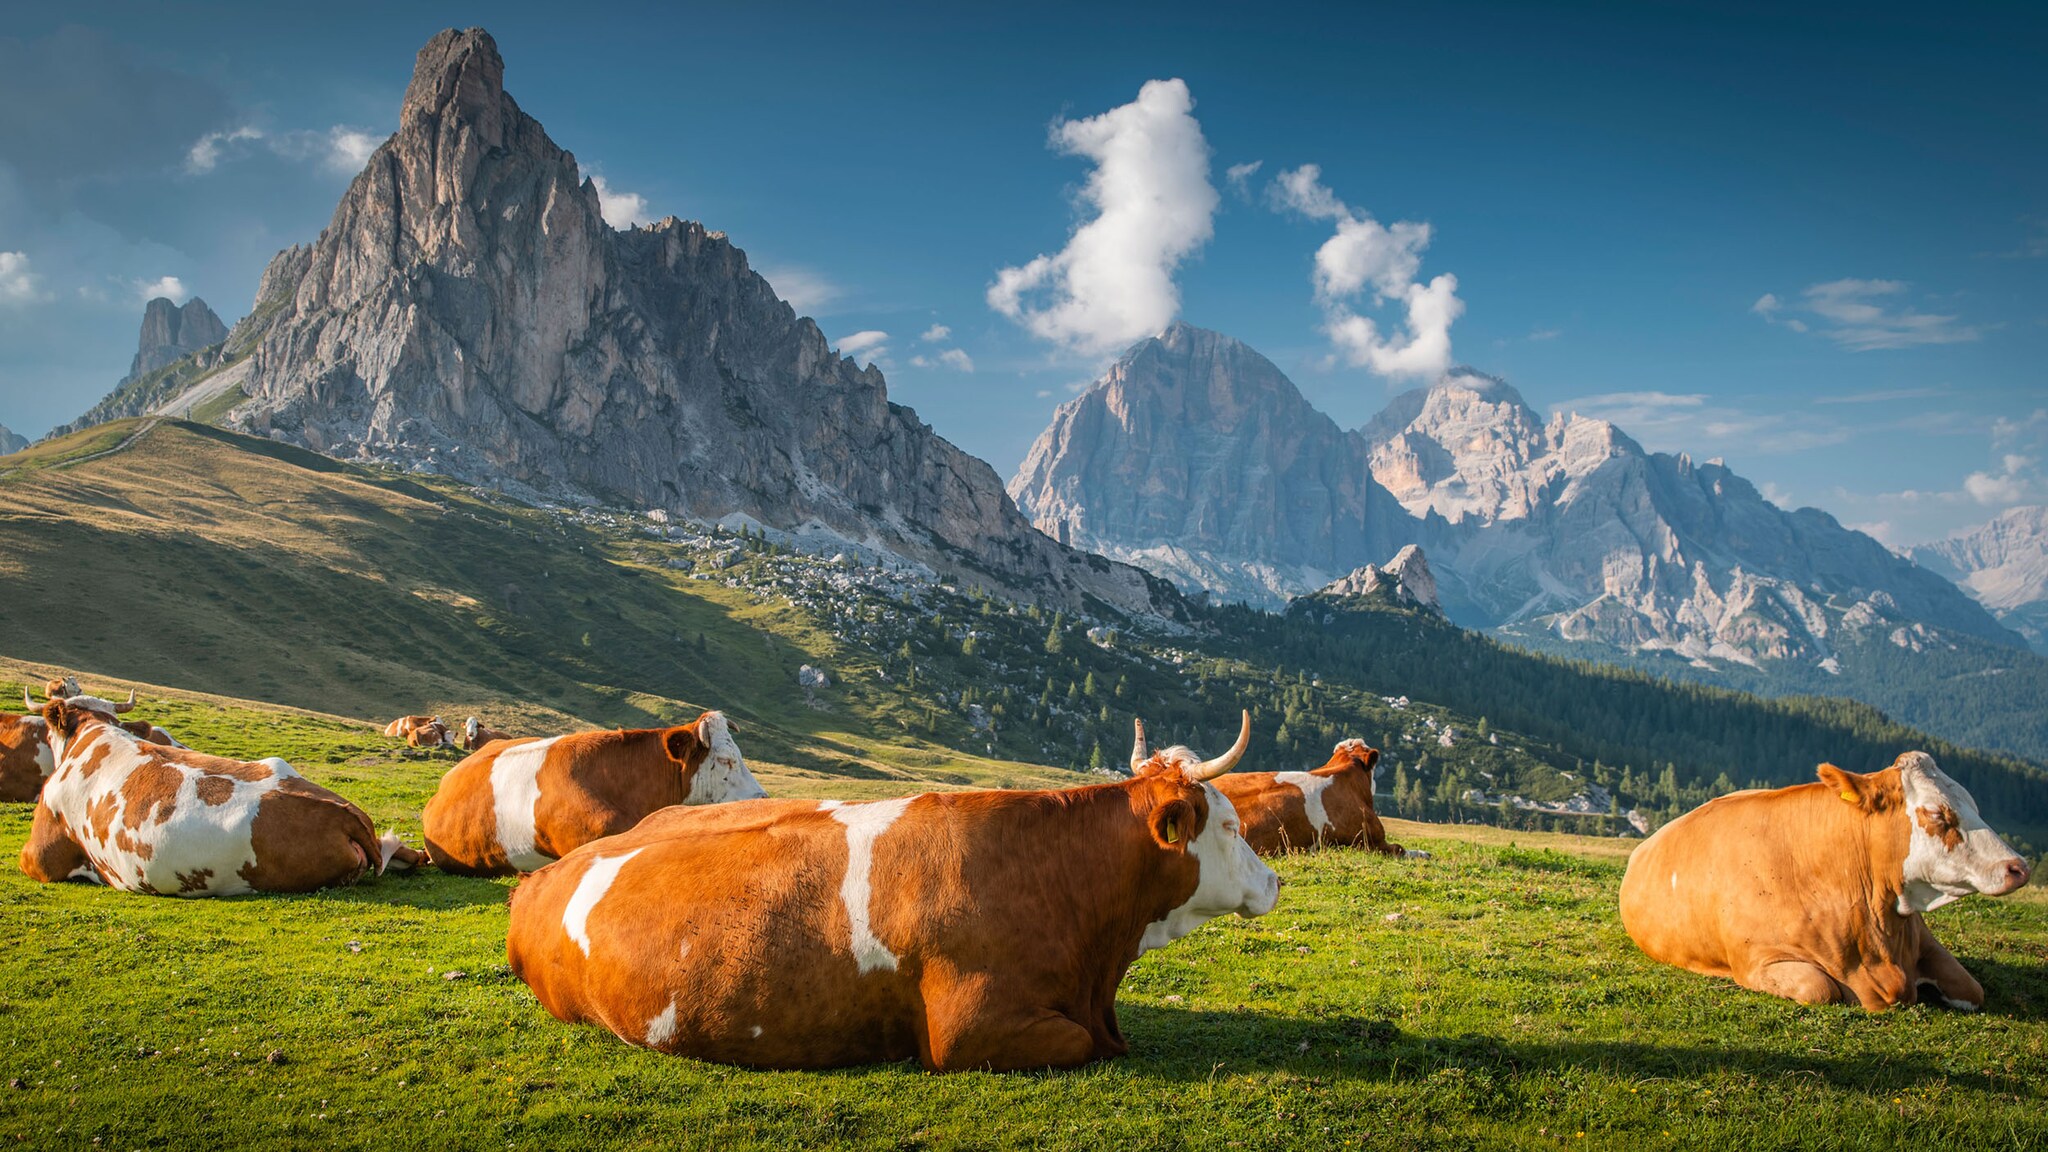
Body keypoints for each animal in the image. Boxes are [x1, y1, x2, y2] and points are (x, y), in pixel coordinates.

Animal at [1619, 752, 2031, 1012]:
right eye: (1935, 813)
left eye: (1973, 804)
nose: (2018, 867)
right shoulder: (1756, 960)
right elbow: (1819, 989)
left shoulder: (1923, 941)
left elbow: (1972, 988)